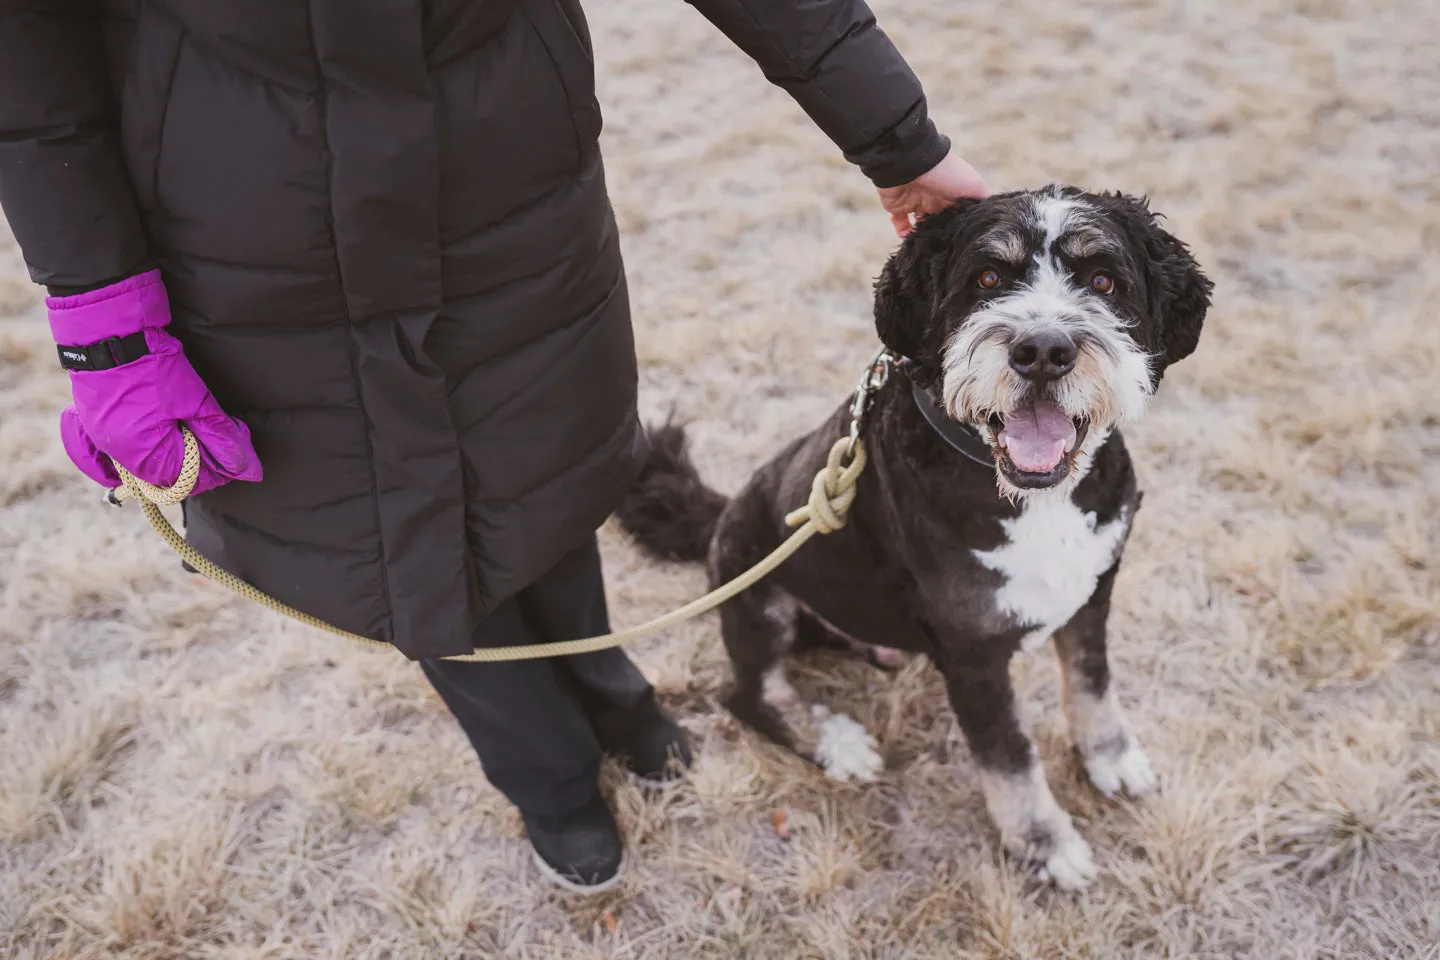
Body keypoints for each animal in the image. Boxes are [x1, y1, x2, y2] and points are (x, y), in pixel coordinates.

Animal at [613, 184, 1209, 892]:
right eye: (987, 278)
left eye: (1102, 281)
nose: (1042, 351)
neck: (1031, 496)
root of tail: (722, 512)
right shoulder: (974, 655)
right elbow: (1009, 756)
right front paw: (1044, 846)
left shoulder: (1093, 591)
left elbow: (1091, 683)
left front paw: (1111, 759)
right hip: (758, 593)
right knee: (747, 694)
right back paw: (836, 743)